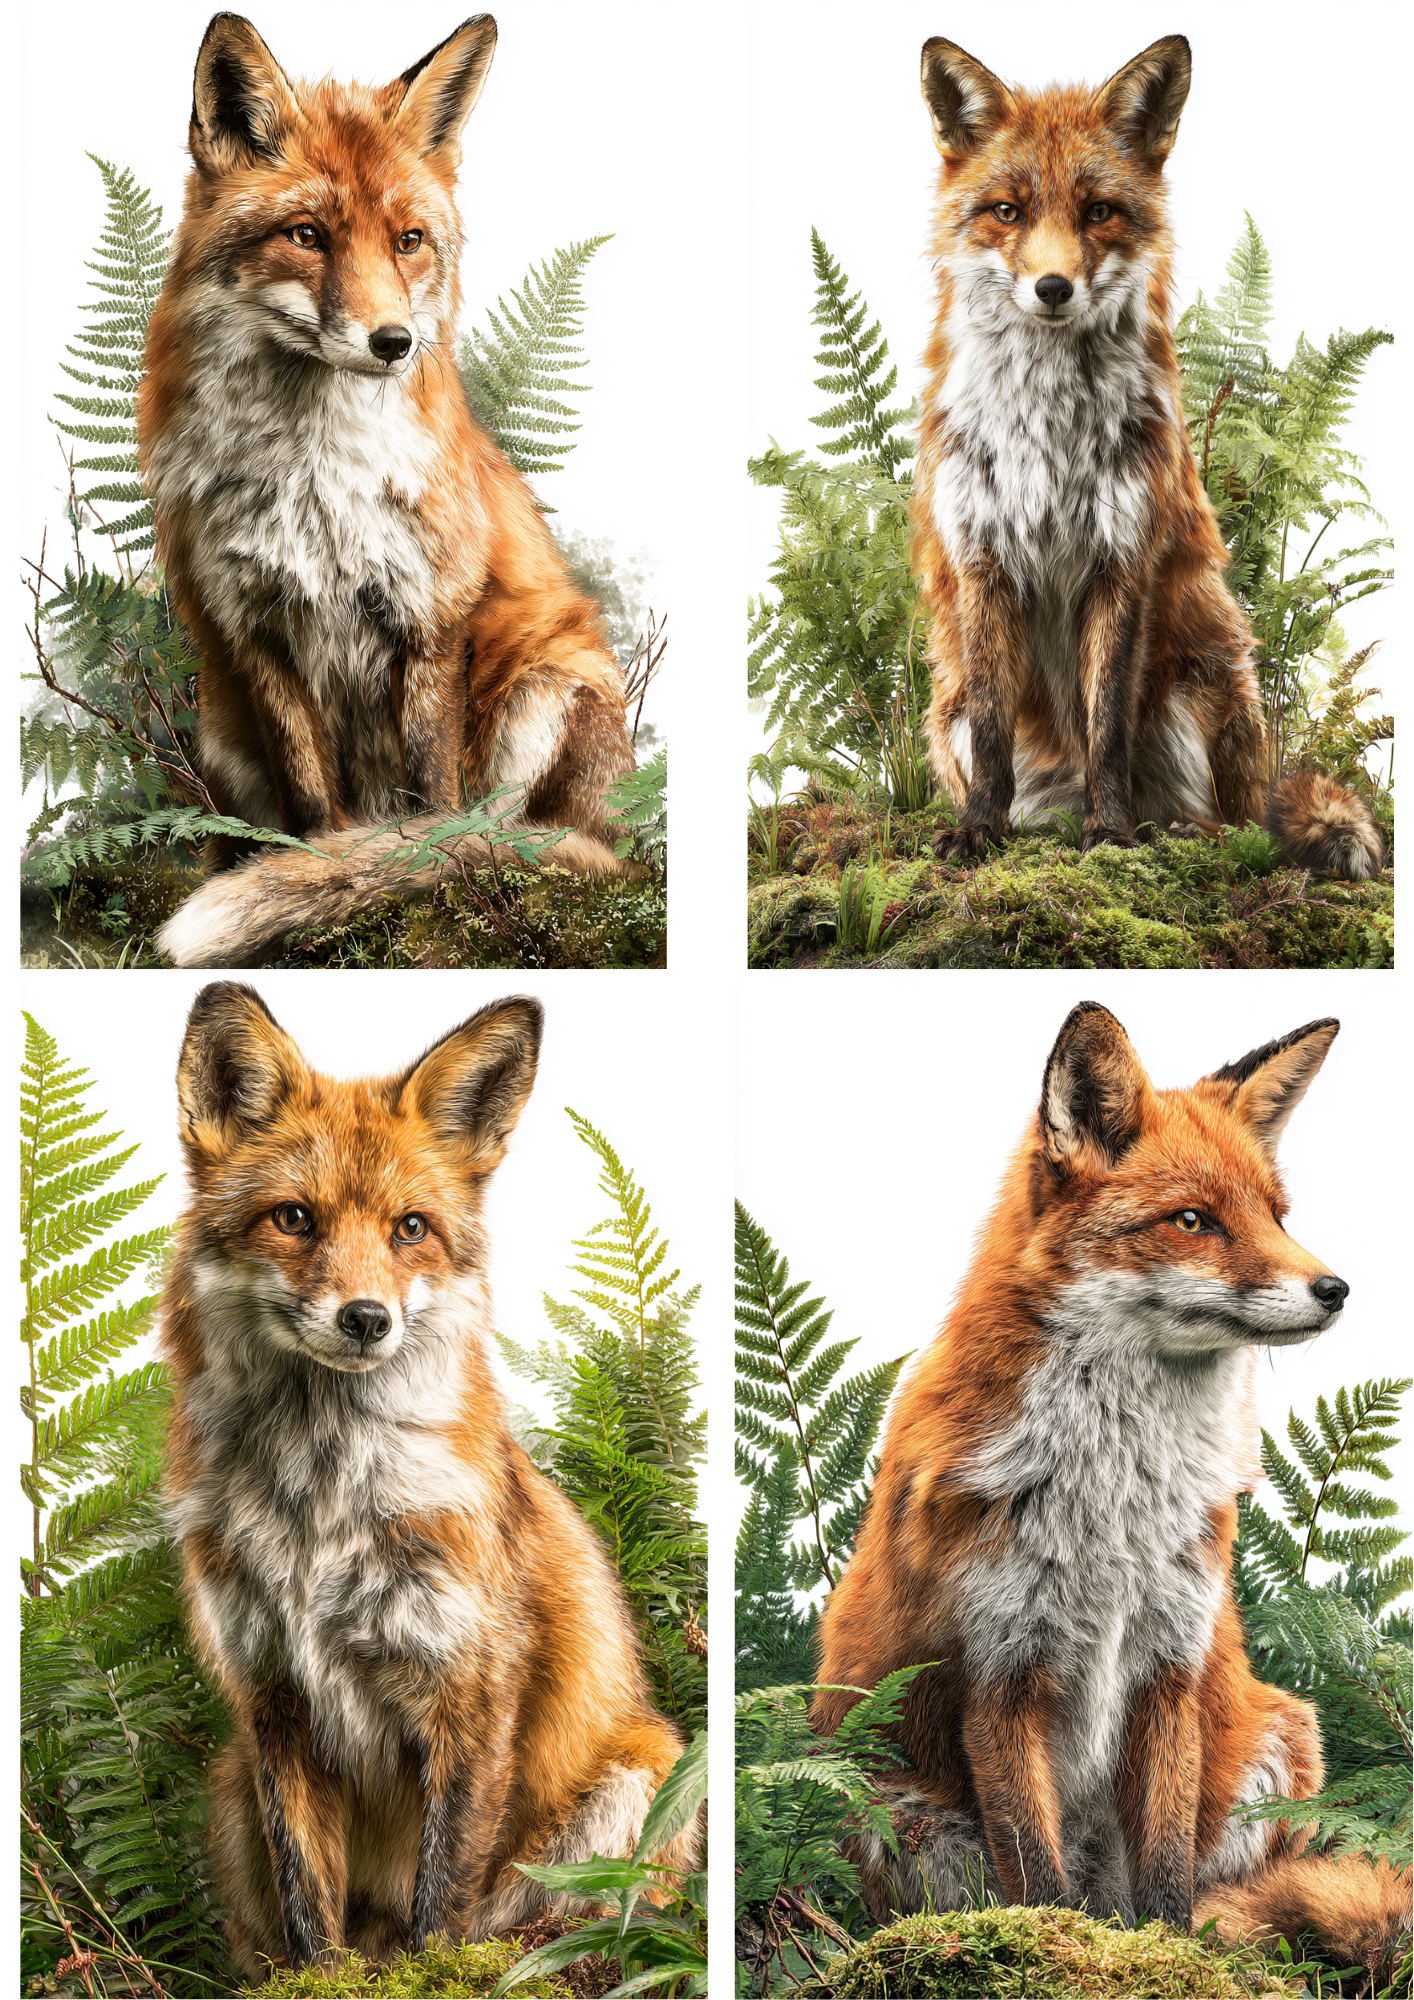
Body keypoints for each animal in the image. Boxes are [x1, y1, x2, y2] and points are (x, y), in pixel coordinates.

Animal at [139, 14, 638, 970]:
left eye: (408, 240)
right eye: (306, 235)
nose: (394, 341)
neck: (312, 480)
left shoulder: (428, 621)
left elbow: (434, 810)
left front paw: (431, 890)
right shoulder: (255, 632)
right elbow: (310, 813)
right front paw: (317, 895)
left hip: (547, 684)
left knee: (517, 829)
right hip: (221, 727)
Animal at [160, 984, 695, 1975]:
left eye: (410, 1228)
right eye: (294, 1218)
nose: (366, 1319)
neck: (320, 1506)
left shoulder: (471, 1688)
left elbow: (443, 1903)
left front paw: (435, 1974)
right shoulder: (275, 1701)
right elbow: (309, 1910)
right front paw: (327, 1982)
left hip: (642, 1770)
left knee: (558, 1927)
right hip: (231, 1787)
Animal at [813, 1003, 1410, 1982]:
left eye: (1277, 1215)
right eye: (1193, 1220)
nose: (1336, 1290)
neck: (1116, 1506)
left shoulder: (1170, 1666)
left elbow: (1165, 1879)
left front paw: (1170, 1959)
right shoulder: (999, 1674)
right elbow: (1037, 1881)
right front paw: (1054, 1956)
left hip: (1280, 1735)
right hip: (891, 1809)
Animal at [911, 33, 1384, 881]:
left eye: (1098, 211)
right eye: (1008, 211)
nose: (1053, 287)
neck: (1046, 430)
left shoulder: (1123, 557)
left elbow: (1107, 727)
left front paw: (1110, 834)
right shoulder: (981, 558)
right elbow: (996, 735)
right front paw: (977, 832)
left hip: (1195, 692)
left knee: (1232, 824)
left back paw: (1172, 833)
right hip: (950, 708)